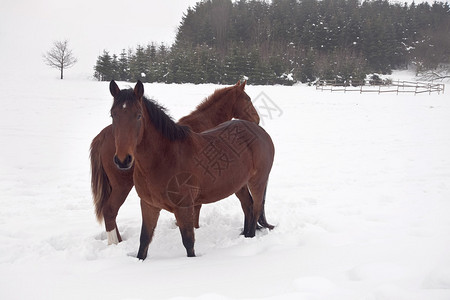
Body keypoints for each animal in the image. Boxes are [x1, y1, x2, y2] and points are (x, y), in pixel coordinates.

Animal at [109, 80, 274, 260]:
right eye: (113, 115)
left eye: (138, 115)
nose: (123, 159)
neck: (165, 158)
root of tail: (260, 131)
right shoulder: (149, 206)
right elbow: (144, 240)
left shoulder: (185, 208)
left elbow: (188, 241)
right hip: (239, 184)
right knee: (248, 206)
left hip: (257, 181)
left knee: (256, 207)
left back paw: (250, 237)